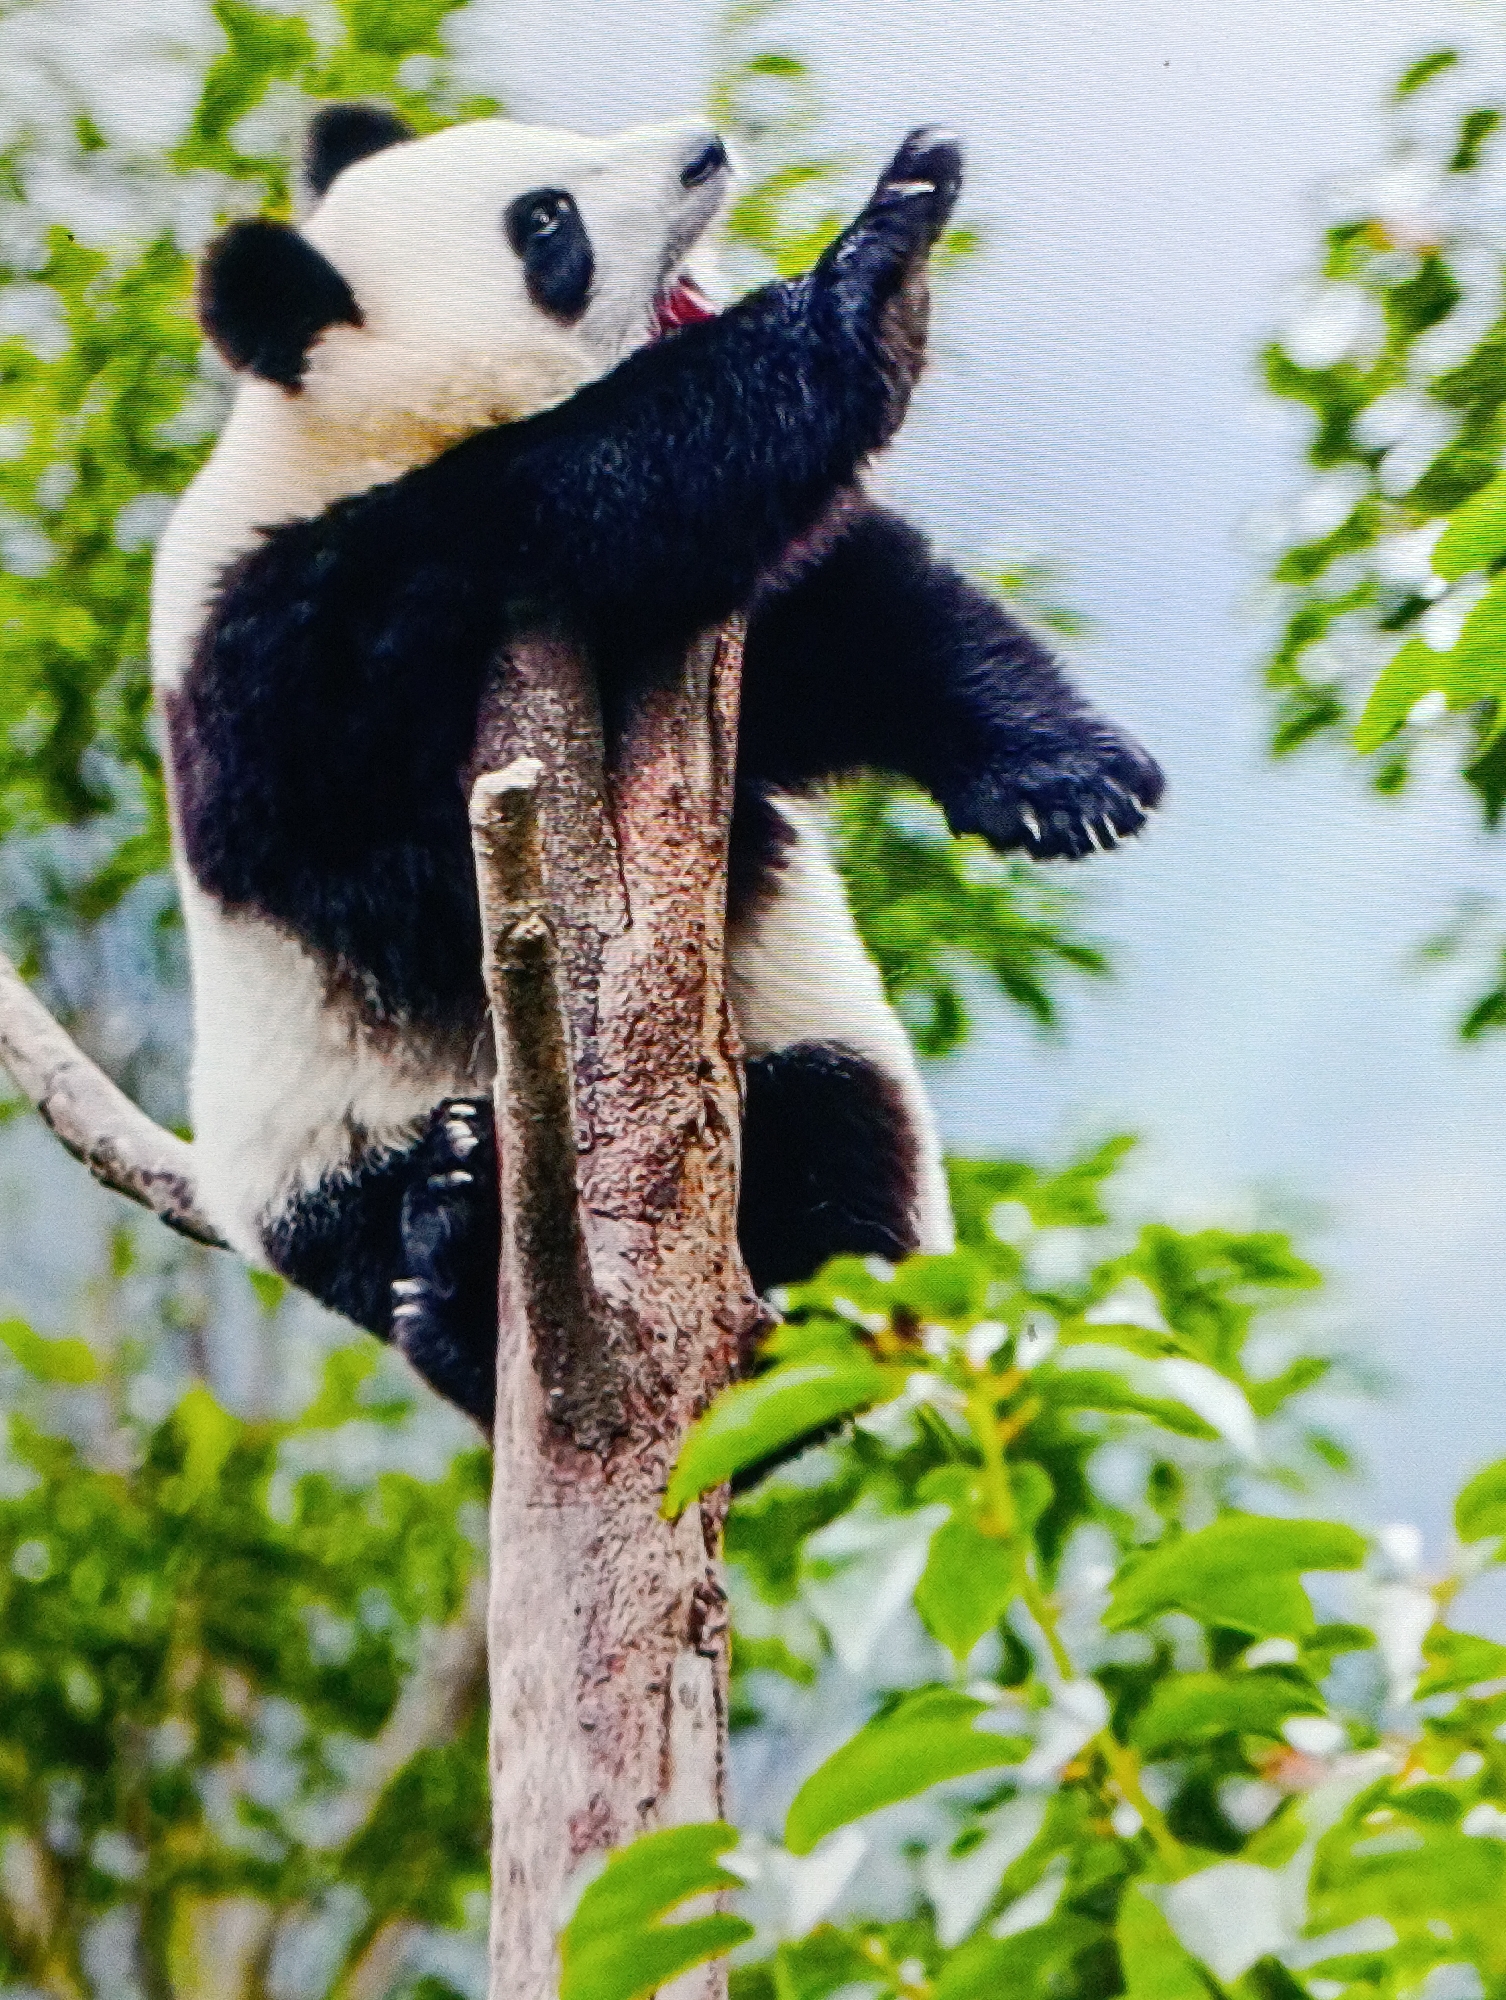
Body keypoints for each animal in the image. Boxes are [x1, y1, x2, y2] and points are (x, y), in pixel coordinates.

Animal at [151, 103, 1162, 1428]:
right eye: (547, 222)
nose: (704, 150)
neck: (339, 435)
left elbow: (858, 629)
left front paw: (1069, 780)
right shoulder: (301, 635)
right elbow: (619, 482)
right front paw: (870, 264)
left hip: (801, 1037)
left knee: (835, 1155)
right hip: (321, 1136)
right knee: (391, 1232)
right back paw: (460, 1268)